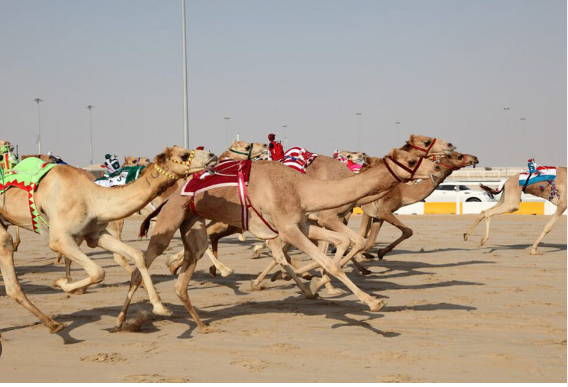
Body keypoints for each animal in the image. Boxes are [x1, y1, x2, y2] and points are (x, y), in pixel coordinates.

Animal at [0, 146, 216, 334]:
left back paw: (53, 324)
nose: (212, 155)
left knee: (11, 282)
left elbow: (137, 255)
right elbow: (98, 271)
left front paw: (159, 307)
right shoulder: (60, 239)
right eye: (183, 155)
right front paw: (62, 283)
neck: (92, 198)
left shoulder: (95, 234)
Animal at [115, 147, 444, 332]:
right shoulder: (288, 229)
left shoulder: (303, 224)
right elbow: (329, 261)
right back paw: (126, 319)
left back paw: (201, 325)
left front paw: (313, 286)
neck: (303, 187)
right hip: (170, 221)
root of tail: (169, 195)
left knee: (183, 277)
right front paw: (372, 302)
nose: (439, 167)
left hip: (192, 226)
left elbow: (339, 244)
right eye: (412, 158)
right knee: (143, 265)